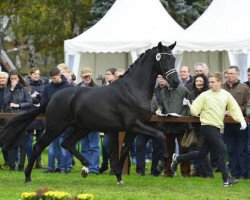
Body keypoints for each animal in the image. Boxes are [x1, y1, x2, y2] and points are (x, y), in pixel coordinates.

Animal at [0, 41, 179, 184]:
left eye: (174, 59)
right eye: (164, 60)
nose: (176, 82)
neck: (133, 89)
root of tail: (53, 97)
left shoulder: (133, 129)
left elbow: (124, 151)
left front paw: (119, 176)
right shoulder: (134, 125)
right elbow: (160, 135)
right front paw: (161, 165)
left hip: (82, 128)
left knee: (66, 144)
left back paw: (86, 167)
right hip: (55, 127)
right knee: (38, 147)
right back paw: (28, 177)